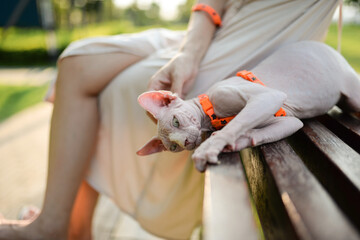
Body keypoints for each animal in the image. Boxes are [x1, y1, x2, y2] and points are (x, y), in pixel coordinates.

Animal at [136, 41, 360, 172]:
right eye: (174, 147)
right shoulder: (291, 121)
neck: (210, 114)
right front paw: (238, 142)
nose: (187, 142)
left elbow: (236, 125)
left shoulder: (268, 97)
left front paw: (210, 146)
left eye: (175, 121)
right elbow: (261, 132)